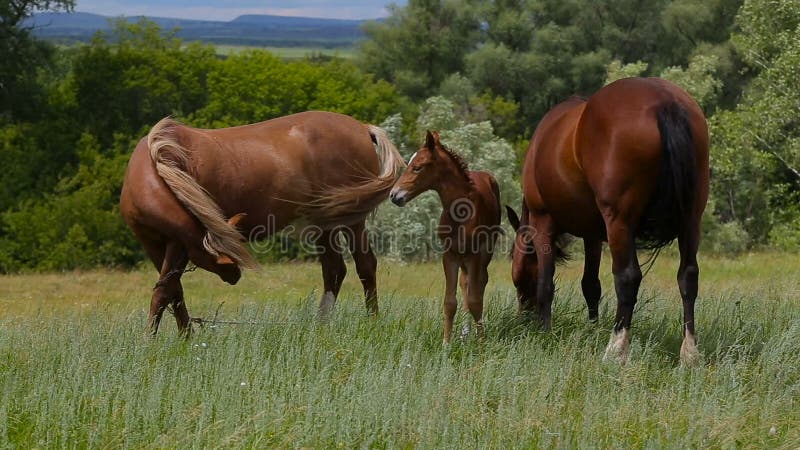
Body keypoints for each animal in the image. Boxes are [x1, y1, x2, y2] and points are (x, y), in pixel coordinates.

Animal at [119, 110, 406, 334]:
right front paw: (185, 337)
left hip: (351, 221)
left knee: (365, 266)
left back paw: (372, 323)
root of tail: (363, 129)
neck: (157, 165)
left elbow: (165, 292)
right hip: (324, 225)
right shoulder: (155, 244)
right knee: (334, 270)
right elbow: (172, 290)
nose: (234, 275)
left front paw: (150, 341)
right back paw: (320, 327)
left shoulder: (180, 243)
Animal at [390, 132, 500, 342]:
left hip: (486, 251)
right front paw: (446, 343)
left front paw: (482, 342)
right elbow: (450, 302)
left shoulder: (474, 255)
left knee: (480, 282)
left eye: (417, 167)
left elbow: (475, 300)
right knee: (466, 283)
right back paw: (465, 334)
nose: (394, 195)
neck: (461, 212)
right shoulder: (449, 255)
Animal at [510, 77, 708, 366]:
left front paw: (544, 332)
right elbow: (590, 285)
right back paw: (690, 352)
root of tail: (664, 101)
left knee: (627, 278)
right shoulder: (592, 235)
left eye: (518, 274)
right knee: (688, 276)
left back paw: (616, 348)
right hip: (691, 219)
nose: (523, 317)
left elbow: (546, 283)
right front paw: (592, 327)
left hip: (620, 221)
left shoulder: (542, 221)